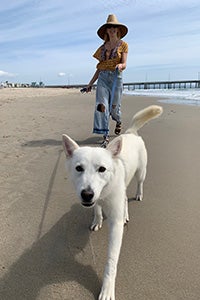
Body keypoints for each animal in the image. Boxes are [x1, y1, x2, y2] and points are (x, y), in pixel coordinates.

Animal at [62, 105, 162, 300]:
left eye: (102, 169)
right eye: (78, 168)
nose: (87, 194)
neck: (104, 193)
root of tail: (130, 133)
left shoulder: (114, 223)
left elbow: (111, 261)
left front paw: (107, 288)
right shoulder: (97, 200)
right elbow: (97, 210)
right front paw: (97, 220)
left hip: (141, 172)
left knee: (139, 184)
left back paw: (137, 196)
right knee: (123, 199)